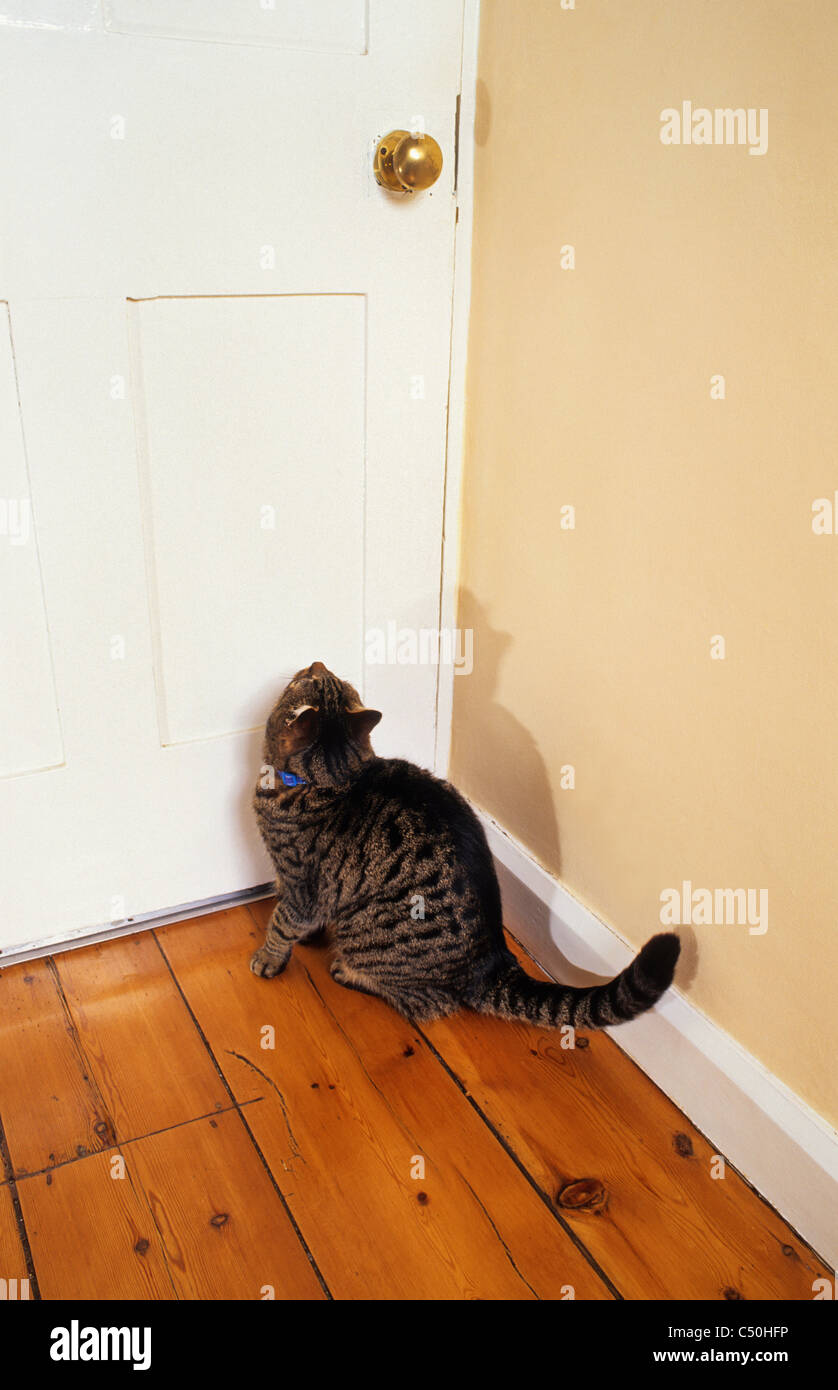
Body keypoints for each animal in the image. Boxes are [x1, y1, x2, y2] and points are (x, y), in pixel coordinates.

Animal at [250, 661, 680, 1034]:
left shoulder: (301, 885)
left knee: (430, 1003)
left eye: (301, 681)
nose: (316, 662)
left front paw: (269, 957)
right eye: (318, 677)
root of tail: (493, 959)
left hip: (366, 936)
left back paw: (348, 972)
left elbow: (282, 921)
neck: (332, 778)